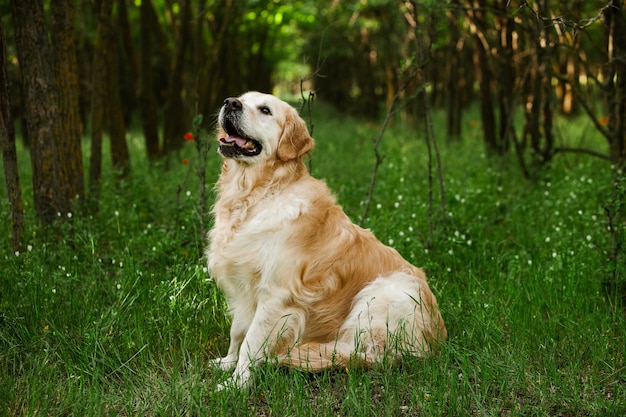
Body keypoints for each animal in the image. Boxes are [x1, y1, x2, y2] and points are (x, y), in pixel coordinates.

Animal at [205, 90, 444, 386]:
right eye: (240, 98)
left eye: (265, 110)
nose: (230, 103)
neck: (257, 195)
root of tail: (438, 340)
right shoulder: (243, 287)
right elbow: (237, 331)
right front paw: (227, 363)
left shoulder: (275, 293)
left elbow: (251, 340)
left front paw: (236, 384)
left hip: (385, 292)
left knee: (368, 354)